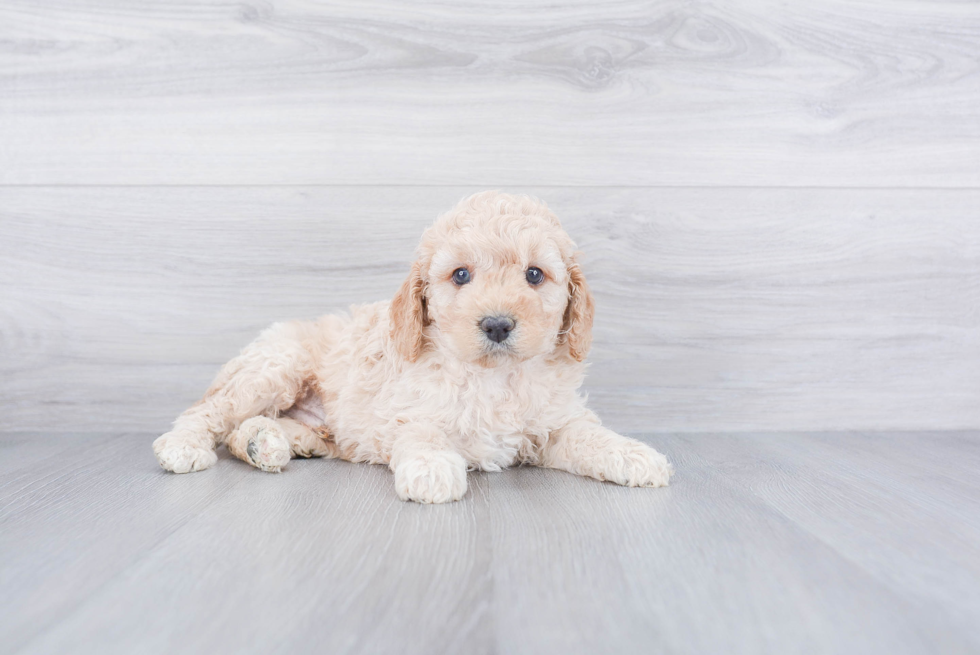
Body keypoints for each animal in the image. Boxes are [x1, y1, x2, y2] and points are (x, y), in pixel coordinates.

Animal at [153, 192, 672, 504]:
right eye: (460, 275)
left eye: (534, 275)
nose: (497, 324)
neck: (493, 376)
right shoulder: (410, 408)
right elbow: (424, 433)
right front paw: (433, 469)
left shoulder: (555, 424)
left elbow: (590, 436)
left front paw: (633, 455)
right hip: (275, 365)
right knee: (212, 412)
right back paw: (185, 445)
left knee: (254, 428)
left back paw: (271, 443)